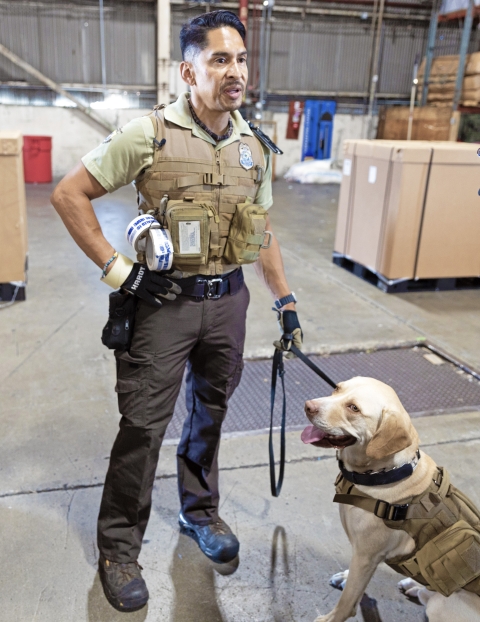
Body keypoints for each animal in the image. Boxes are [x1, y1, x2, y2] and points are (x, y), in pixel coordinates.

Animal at [302, 376, 480, 622]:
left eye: (354, 408)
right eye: (337, 388)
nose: (307, 406)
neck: (383, 473)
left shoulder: (366, 556)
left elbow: (347, 602)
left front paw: (330, 619)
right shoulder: (363, 556)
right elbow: (355, 585)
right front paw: (346, 578)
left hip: (441, 606)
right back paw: (415, 586)